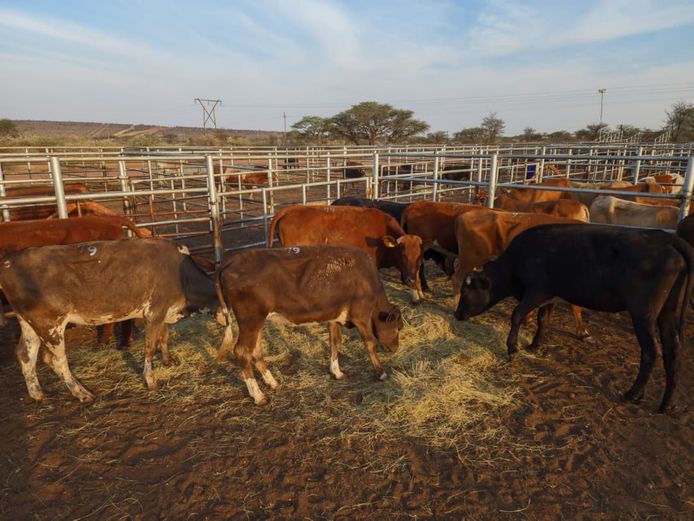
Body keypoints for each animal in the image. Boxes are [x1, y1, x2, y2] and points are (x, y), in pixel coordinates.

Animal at [0, 238, 219, 401]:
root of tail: (8, 261)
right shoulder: (154, 312)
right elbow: (149, 347)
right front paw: (151, 381)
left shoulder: (164, 312)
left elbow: (164, 337)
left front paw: (168, 360)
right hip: (49, 324)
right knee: (56, 360)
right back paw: (82, 393)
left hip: (28, 322)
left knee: (26, 355)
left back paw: (38, 394)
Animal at [215, 245, 403, 405]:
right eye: (397, 327)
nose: (395, 348)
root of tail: (232, 261)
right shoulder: (361, 316)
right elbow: (370, 343)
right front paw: (381, 372)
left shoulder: (333, 317)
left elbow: (335, 343)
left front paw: (336, 372)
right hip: (250, 320)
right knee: (242, 351)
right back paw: (258, 396)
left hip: (257, 322)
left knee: (256, 351)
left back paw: (272, 382)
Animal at [451, 209, 589, 339]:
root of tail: (463, 216)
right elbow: (575, 306)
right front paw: (582, 331)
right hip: (469, 259)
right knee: (457, 279)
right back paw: (455, 305)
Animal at [454, 223, 694, 413]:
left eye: (466, 291)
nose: (457, 314)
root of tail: (668, 239)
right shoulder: (549, 296)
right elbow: (543, 319)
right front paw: (535, 345)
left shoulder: (536, 291)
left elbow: (517, 315)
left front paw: (513, 348)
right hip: (667, 313)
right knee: (672, 352)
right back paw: (664, 404)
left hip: (643, 314)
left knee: (651, 352)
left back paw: (632, 393)